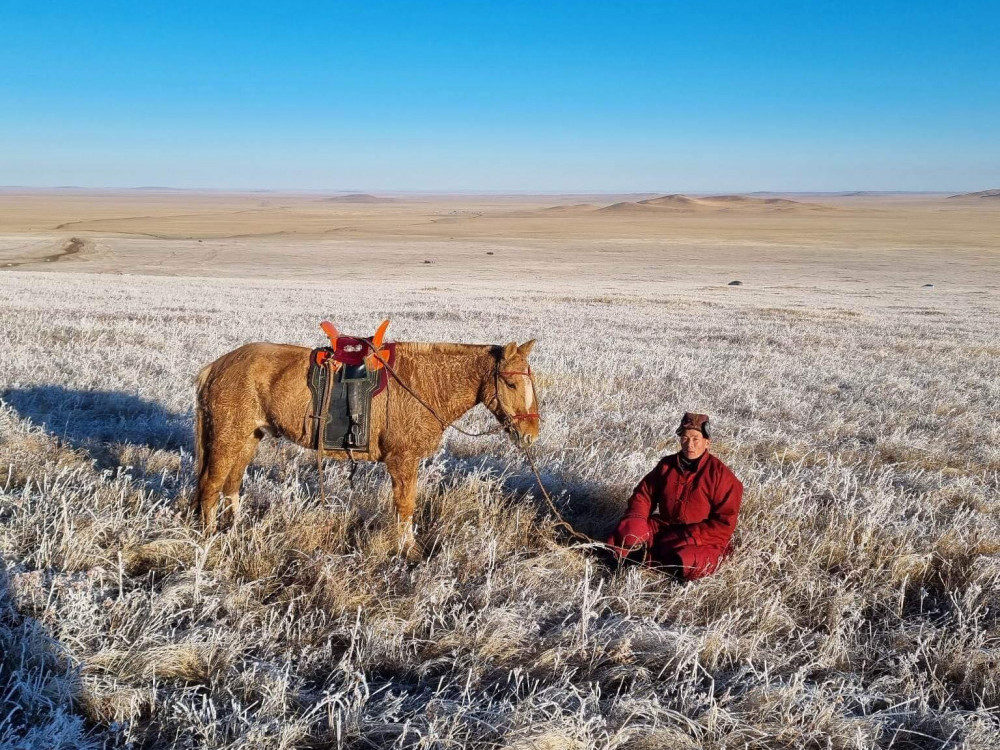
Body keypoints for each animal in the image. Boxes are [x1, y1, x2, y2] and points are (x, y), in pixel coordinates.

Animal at [193, 338, 540, 548]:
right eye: (510, 383)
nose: (531, 434)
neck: (426, 384)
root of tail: (215, 366)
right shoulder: (403, 461)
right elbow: (405, 506)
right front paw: (408, 552)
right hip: (227, 438)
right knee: (210, 486)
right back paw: (209, 540)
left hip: (248, 438)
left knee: (231, 485)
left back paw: (235, 531)